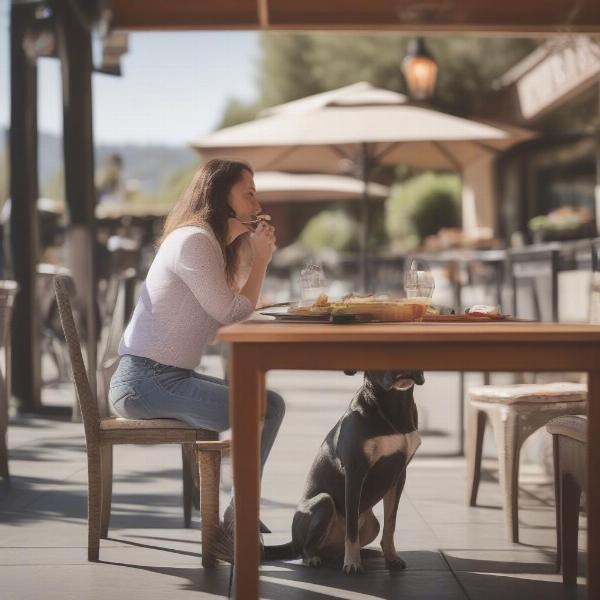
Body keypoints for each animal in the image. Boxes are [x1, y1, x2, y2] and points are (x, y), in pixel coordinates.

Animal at [264, 368, 424, 576]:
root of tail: (292, 540)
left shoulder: (398, 475)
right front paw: (353, 563)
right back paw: (314, 558)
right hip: (323, 502)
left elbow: (390, 523)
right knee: (306, 548)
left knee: (337, 548)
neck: (393, 405)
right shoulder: (355, 472)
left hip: (372, 525)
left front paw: (391, 558)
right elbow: (352, 527)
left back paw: (365, 553)